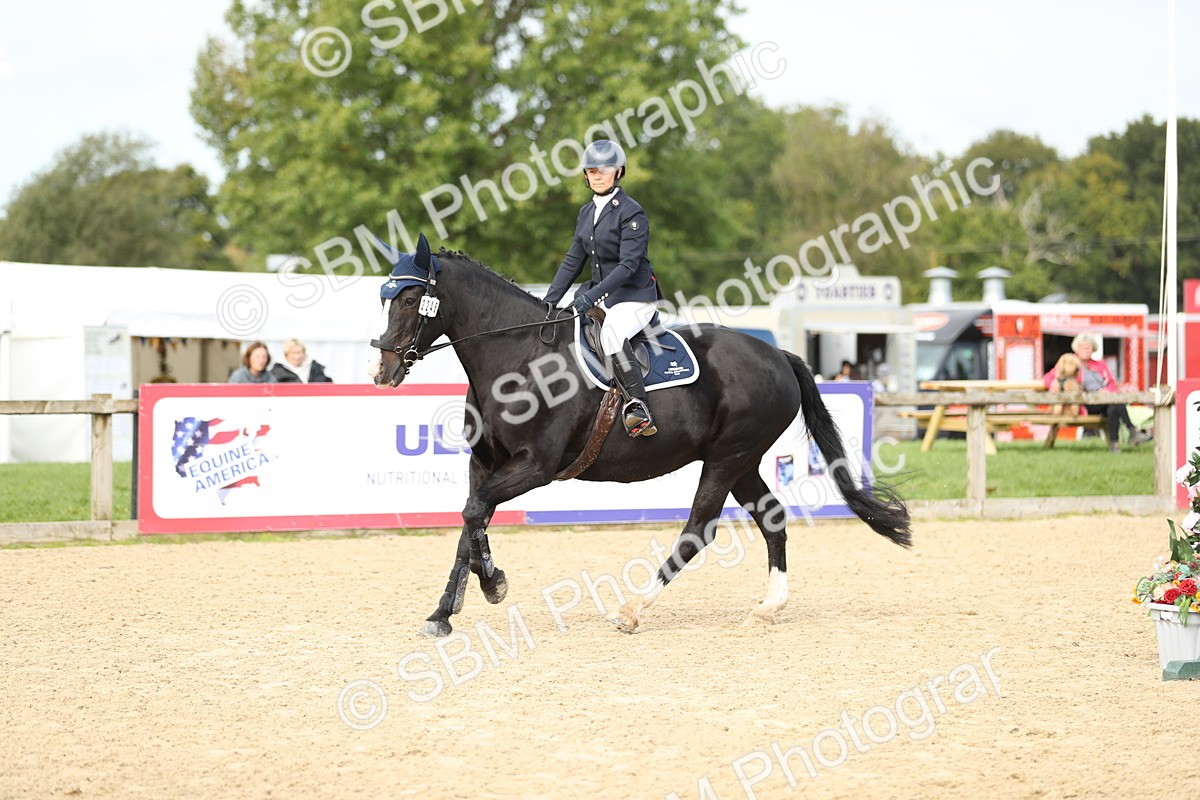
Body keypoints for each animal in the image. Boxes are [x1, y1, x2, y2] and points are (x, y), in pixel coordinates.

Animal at [369, 235, 912, 636]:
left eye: (412, 298)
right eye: (386, 297)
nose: (383, 370)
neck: (516, 357)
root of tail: (777, 354)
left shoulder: (535, 465)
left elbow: (475, 512)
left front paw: (493, 585)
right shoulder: (483, 462)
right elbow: (469, 521)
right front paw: (443, 613)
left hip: (728, 458)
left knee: (699, 530)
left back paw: (631, 610)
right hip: (741, 462)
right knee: (772, 519)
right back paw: (768, 607)